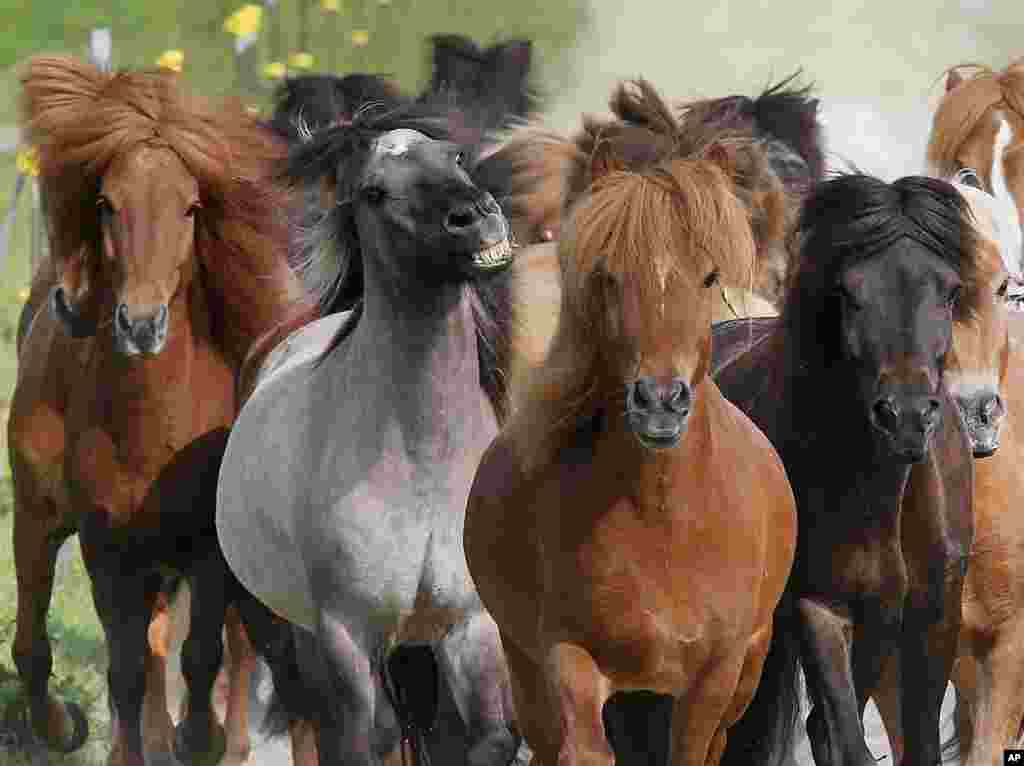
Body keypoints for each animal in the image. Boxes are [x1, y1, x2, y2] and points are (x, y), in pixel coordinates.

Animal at [220, 101, 528, 766]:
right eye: (375, 192)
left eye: (455, 155)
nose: (474, 218)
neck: (422, 463)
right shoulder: (347, 633)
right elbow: (367, 740)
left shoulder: (469, 623)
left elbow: (489, 738)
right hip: (304, 636)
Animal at [464, 76, 798, 766]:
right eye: (609, 275)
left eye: (709, 276)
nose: (660, 401)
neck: (660, 516)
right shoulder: (567, 660)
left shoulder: (714, 679)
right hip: (526, 664)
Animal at [708, 173, 978, 766]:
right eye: (849, 293)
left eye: (948, 291)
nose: (905, 417)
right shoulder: (820, 607)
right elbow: (843, 737)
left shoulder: (930, 612)